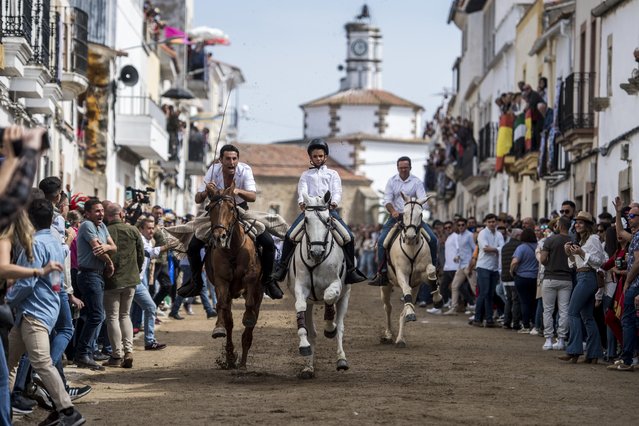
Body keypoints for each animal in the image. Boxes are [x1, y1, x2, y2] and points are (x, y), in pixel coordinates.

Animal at [206, 181, 264, 368]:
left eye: (231, 208)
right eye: (209, 208)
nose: (220, 237)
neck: (232, 250)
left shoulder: (252, 279)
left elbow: (250, 306)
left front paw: (248, 318)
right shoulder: (222, 281)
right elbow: (222, 306)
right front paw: (218, 328)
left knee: (252, 318)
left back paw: (243, 361)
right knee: (229, 321)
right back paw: (231, 357)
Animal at [288, 191, 352, 378]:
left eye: (328, 220)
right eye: (306, 220)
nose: (317, 251)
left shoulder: (336, 284)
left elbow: (329, 297)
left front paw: (329, 328)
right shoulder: (301, 288)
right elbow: (301, 311)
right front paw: (304, 346)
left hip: (346, 296)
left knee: (340, 328)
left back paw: (341, 360)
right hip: (311, 303)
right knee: (312, 332)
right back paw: (308, 367)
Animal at [380, 193, 440, 346]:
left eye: (421, 214)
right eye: (404, 213)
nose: (410, 236)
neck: (411, 247)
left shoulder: (422, 274)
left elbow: (431, 273)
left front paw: (437, 298)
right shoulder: (401, 274)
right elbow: (405, 289)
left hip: (416, 287)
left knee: (405, 308)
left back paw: (400, 338)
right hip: (385, 286)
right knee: (388, 308)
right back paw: (388, 334)